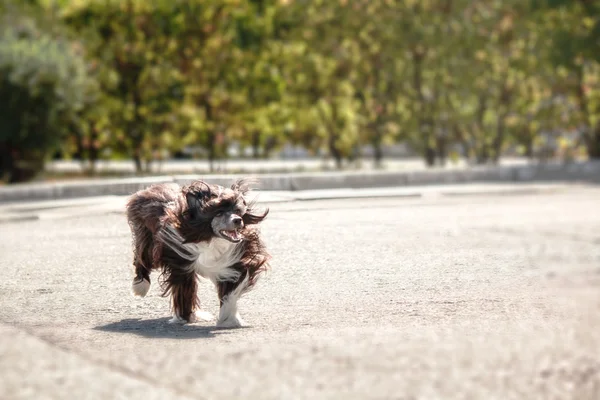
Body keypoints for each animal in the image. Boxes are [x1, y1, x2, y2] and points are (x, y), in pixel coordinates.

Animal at [125, 178, 270, 328]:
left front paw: (228, 319)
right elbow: (183, 289)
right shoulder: (181, 262)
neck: (211, 239)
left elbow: (231, 291)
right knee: (141, 260)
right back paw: (140, 287)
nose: (237, 220)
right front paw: (184, 316)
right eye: (218, 213)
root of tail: (151, 189)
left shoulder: (233, 261)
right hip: (147, 239)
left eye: (237, 211)